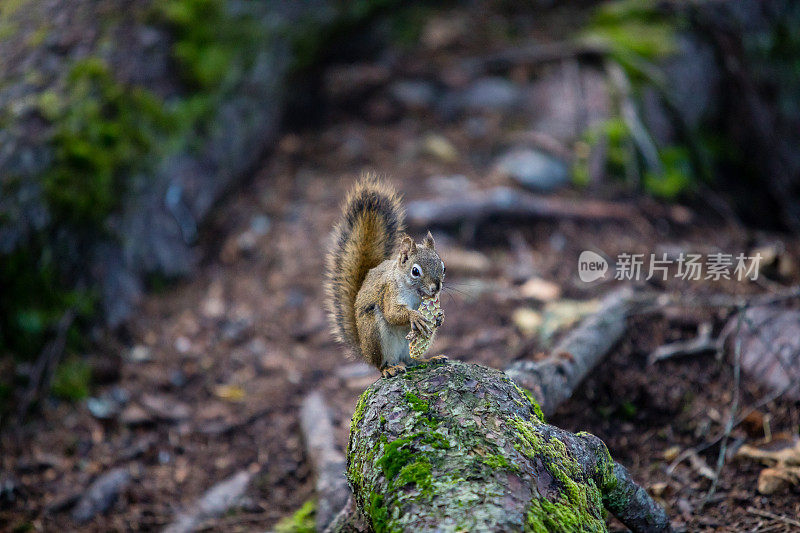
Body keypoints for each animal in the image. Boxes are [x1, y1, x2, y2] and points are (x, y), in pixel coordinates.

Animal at [328, 175, 446, 378]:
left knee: (412, 360)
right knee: (381, 364)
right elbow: (392, 313)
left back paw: (429, 359)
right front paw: (414, 317)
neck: (415, 294)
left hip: (410, 346)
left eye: (443, 267)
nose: (436, 288)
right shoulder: (389, 292)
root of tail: (364, 351)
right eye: (415, 271)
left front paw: (439, 316)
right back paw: (390, 369)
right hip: (375, 334)